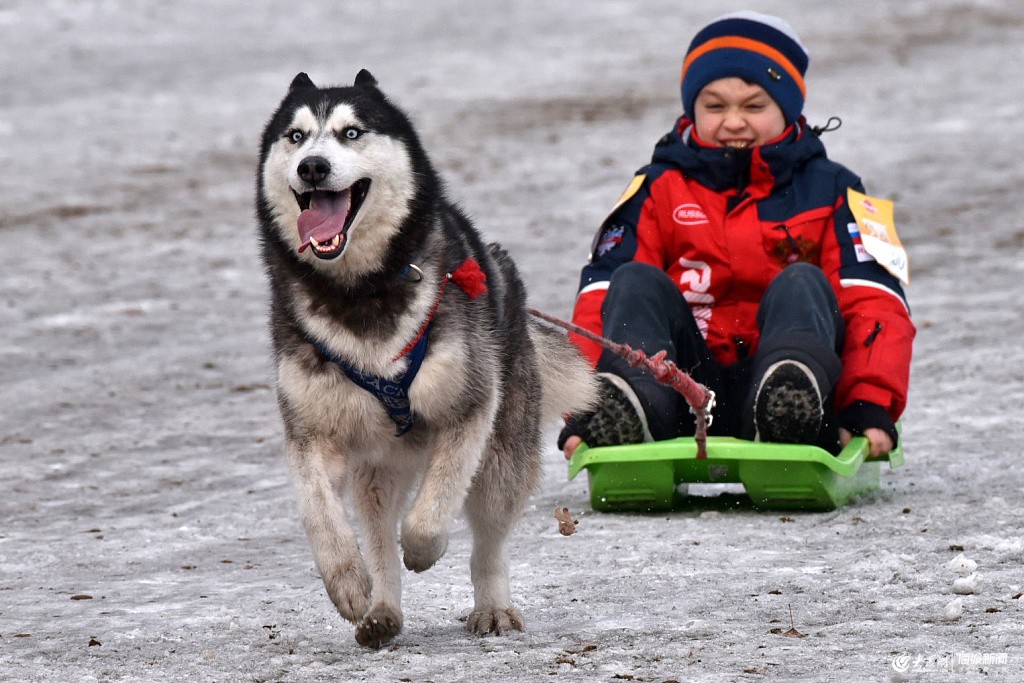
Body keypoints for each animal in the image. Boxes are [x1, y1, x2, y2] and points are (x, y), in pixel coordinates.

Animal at [253, 72, 598, 651]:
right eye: (296, 137)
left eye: (351, 132)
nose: (312, 167)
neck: (362, 294)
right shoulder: (311, 433)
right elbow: (320, 514)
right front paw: (347, 582)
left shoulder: (469, 410)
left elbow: (433, 510)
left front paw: (423, 548)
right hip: (377, 469)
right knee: (377, 535)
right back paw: (381, 608)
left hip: (501, 456)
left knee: (488, 540)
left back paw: (492, 607)